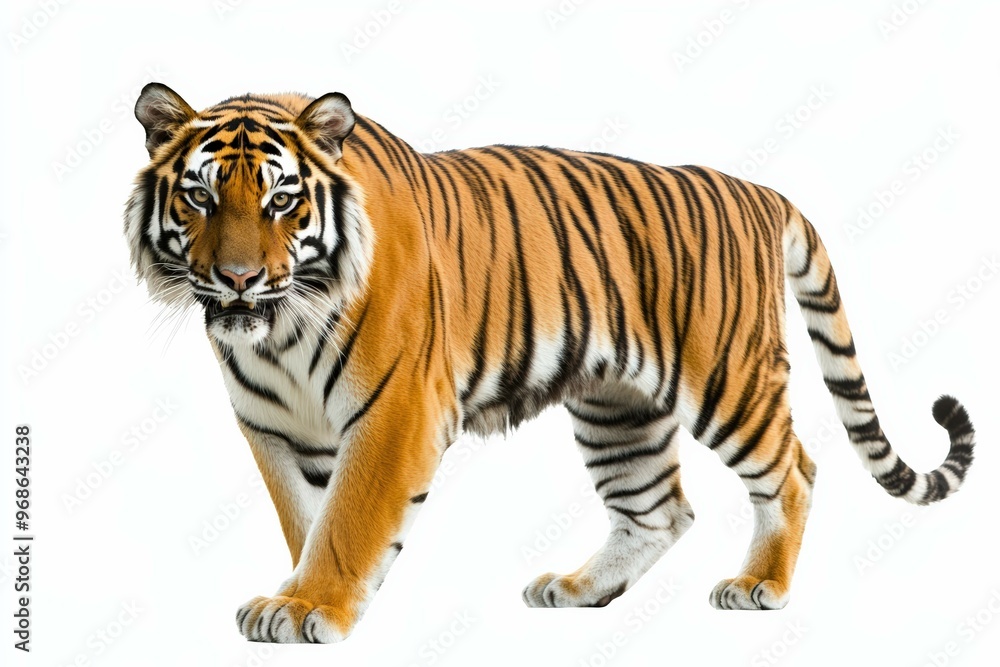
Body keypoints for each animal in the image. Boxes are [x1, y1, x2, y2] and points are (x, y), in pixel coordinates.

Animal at [125, 83, 976, 643]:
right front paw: (305, 594)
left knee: (795, 469)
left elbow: (348, 518)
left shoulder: (396, 410)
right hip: (618, 404)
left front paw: (310, 607)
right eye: (201, 198)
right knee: (660, 508)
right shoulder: (272, 428)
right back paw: (578, 589)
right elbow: (306, 516)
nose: (238, 279)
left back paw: (760, 584)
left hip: (726, 380)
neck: (280, 331)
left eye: (281, 201)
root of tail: (758, 191)